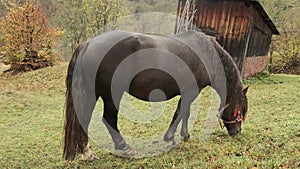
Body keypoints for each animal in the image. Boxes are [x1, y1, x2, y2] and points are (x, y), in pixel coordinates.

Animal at [62, 30, 248, 161]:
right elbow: (180, 112)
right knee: (109, 119)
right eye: (238, 111)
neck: (206, 55)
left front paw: (185, 135)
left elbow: (185, 113)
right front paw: (170, 139)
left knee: (84, 119)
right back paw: (125, 148)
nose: (238, 132)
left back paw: (87, 153)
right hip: (111, 95)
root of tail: (87, 44)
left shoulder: (188, 92)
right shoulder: (191, 92)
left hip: (91, 94)